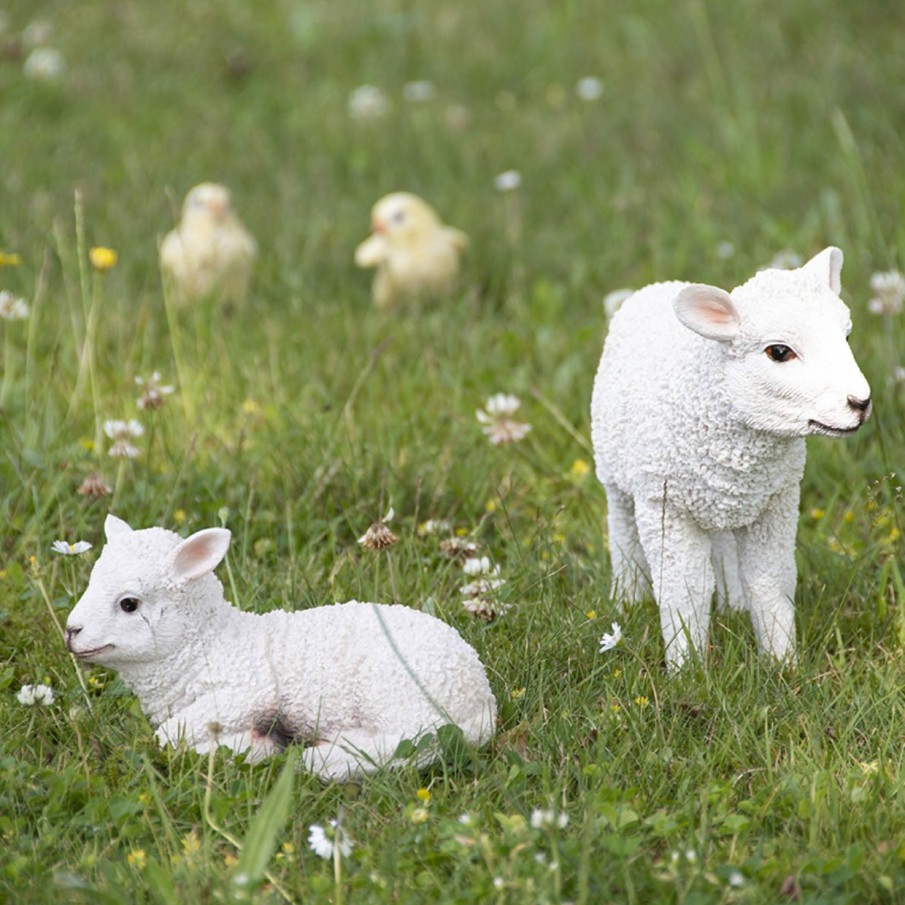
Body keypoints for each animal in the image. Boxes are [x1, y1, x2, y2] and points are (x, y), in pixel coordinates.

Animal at [67, 516, 498, 776]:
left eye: (129, 604)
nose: (71, 631)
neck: (206, 643)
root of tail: (482, 696)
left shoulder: (250, 689)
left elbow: (168, 736)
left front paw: (253, 747)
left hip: (397, 691)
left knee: (421, 743)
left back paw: (327, 758)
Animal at [588, 247, 872, 672]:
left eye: (847, 337)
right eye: (779, 351)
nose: (860, 403)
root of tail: (657, 287)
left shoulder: (776, 502)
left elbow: (771, 578)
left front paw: (782, 664)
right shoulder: (666, 506)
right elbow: (683, 588)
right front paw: (687, 671)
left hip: (719, 499)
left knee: (721, 547)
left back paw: (733, 606)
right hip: (616, 473)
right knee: (622, 532)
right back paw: (627, 600)